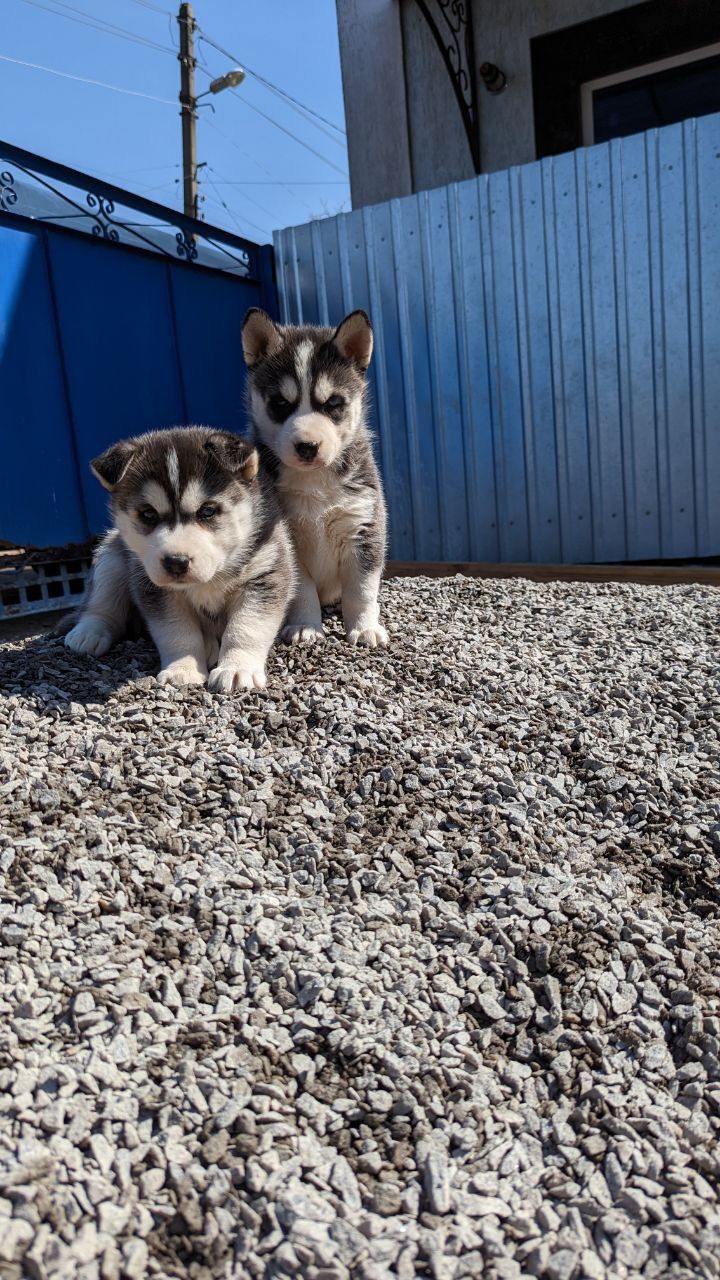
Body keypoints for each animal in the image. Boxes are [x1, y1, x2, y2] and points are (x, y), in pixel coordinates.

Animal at [63, 427, 294, 691]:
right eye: (148, 514)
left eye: (207, 511)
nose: (176, 562)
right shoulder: (153, 587)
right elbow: (177, 631)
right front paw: (183, 669)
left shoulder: (265, 572)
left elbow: (245, 627)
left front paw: (237, 668)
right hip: (111, 557)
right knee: (101, 602)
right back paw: (88, 632)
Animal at [239, 309, 386, 650]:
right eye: (281, 403)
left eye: (333, 403)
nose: (307, 446)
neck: (314, 482)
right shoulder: (288, 541)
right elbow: (301, 590)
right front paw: (305, 626)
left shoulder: (363, 526)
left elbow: (361, 589)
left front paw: (364, 627)